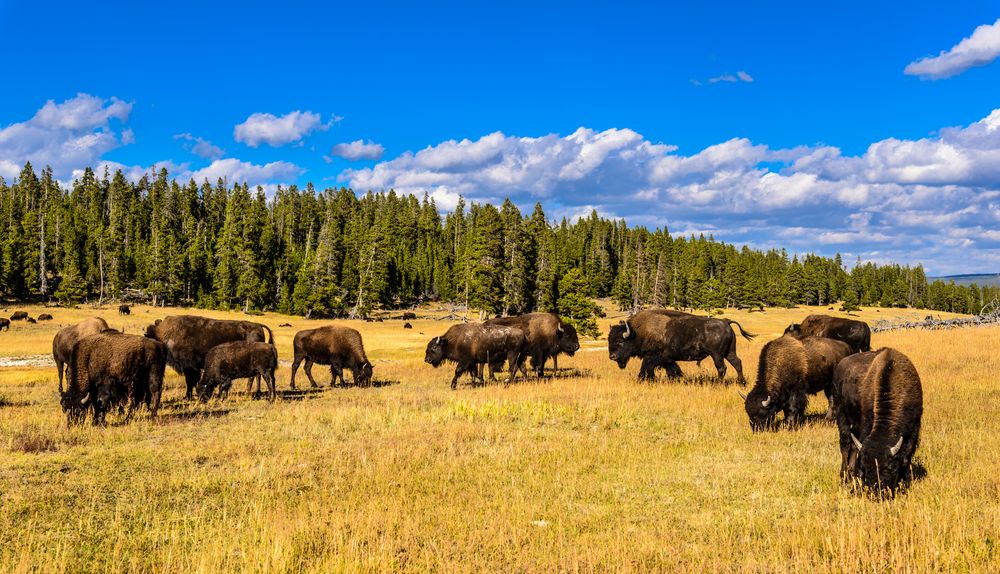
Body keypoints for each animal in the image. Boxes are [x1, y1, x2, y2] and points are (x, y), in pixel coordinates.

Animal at [145, 316, 274, 400]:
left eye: (149, 336)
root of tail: (258, 325)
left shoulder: (190, 367)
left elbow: (190, 381)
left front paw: (187, 397)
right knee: (257, 376)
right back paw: (255, 393)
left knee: (255, 377)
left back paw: (251, 393)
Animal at [832, 348, 924, 492]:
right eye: (864, 466)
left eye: (889, 467)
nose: (875, 490)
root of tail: (840, 364)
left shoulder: (914, 429)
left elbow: (906, 457)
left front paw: (904, 483)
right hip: (841, 414)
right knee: (845, 444)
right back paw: (845, 476)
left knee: (852, 446)